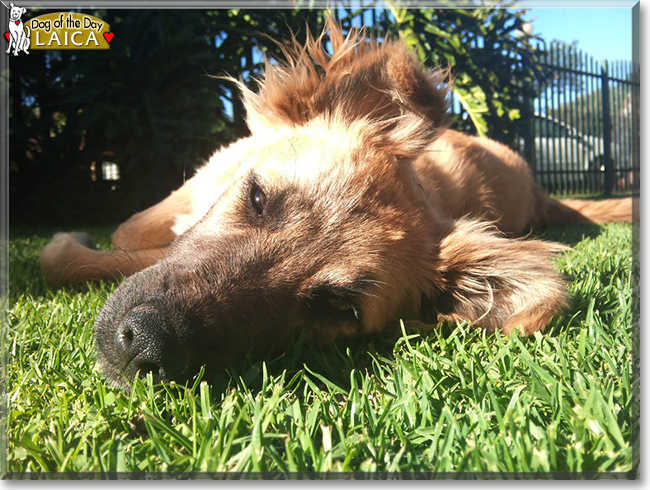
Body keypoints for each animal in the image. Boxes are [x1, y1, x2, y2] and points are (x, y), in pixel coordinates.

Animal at [38, 21, 632, 388]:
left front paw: (71, 243)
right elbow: (128, 235)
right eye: (257, 198)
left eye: (335, 308)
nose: (145, 349)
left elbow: (77, 258)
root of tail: (536, 185)